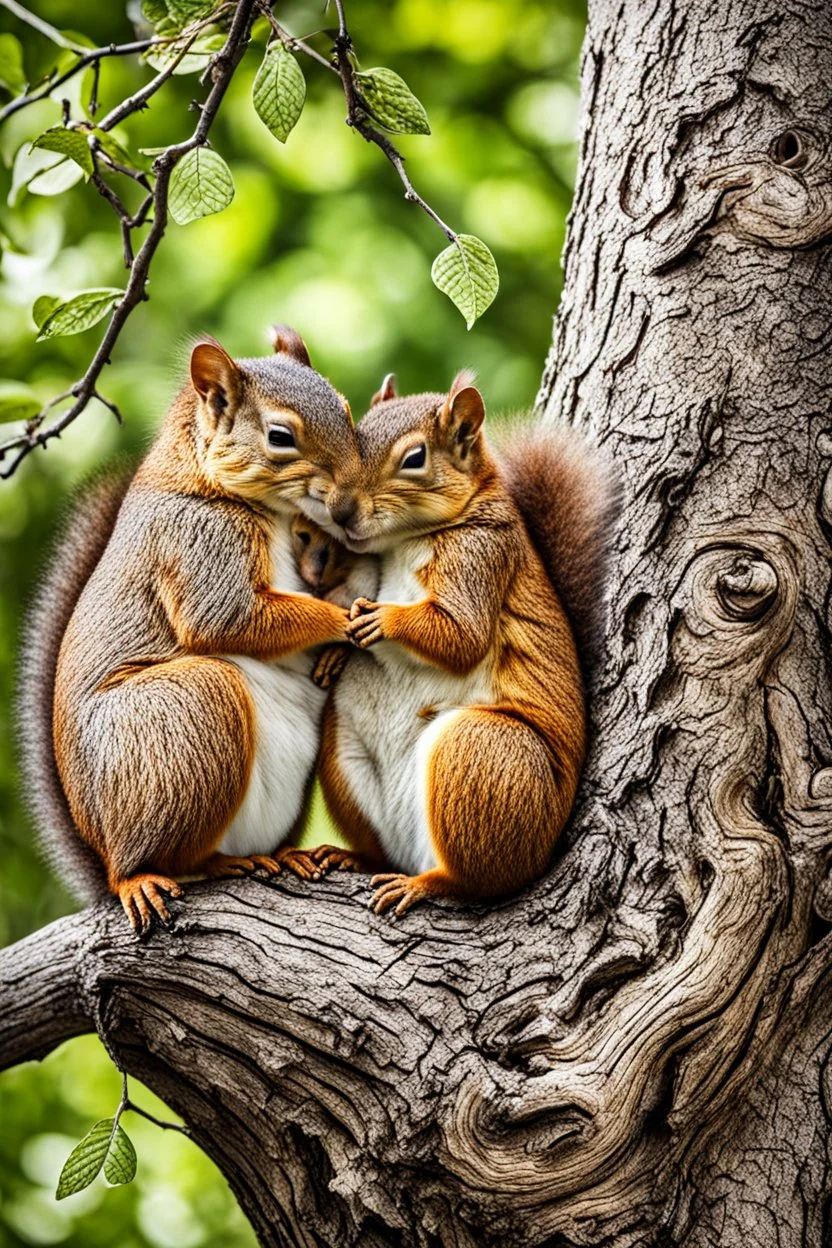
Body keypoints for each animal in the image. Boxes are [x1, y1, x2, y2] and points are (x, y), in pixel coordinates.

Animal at [16, 326, 366, 933]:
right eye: (280, 436)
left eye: (345, 408)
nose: (350, 501)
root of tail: (101, 847)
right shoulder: (197, 540)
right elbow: (228, 616)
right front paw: (344, 621)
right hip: (185, 712)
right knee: (160, 860)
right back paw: (146, 876)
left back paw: (276, 855)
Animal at [315, 369, 616, 918]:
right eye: (355, 430)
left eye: (415, 458)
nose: (340, 511)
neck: (401, 545)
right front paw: (336, 648)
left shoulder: (482, 560)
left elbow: (462, 635)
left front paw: (385, 620)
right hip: (344, 753)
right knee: (382, 850)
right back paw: (356, 858)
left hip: (482, 753)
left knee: (472, 881)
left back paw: (428, 884)